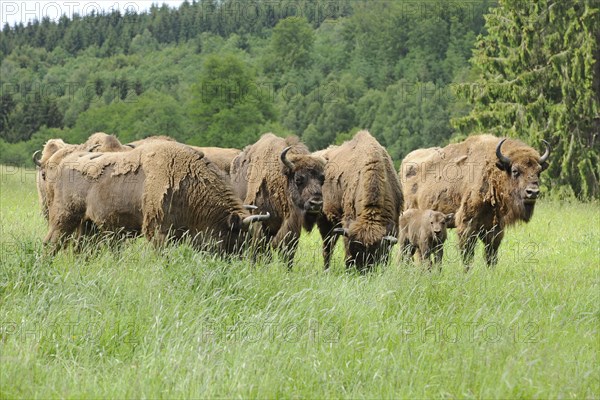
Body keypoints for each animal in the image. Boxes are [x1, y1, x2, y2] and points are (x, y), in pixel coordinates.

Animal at [45, 141, 270, 253]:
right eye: (236, 235)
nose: (235, 260)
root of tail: (65, 162)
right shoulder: (158, 231)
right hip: (65, 219)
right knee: (51, 243)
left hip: (88, 226)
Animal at [230, 133, 326, 268]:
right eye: (298, 179)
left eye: (322, 179)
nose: (316, 204)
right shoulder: (259, 221)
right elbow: (260, 247)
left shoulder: (291, 226)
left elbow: (288, 250)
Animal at [314, 131, 404, 272]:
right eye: (356, 249)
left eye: (375, 251)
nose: (363, 270)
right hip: (325, 221)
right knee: (328, 247)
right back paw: (326, 269)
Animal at [400, 135, 552, 268]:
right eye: (515, 171)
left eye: (538, 171)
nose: (533, 192)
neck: (492, 172)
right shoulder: (467, 224)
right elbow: (468, 254)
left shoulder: (494, 228)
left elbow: (491, 255)